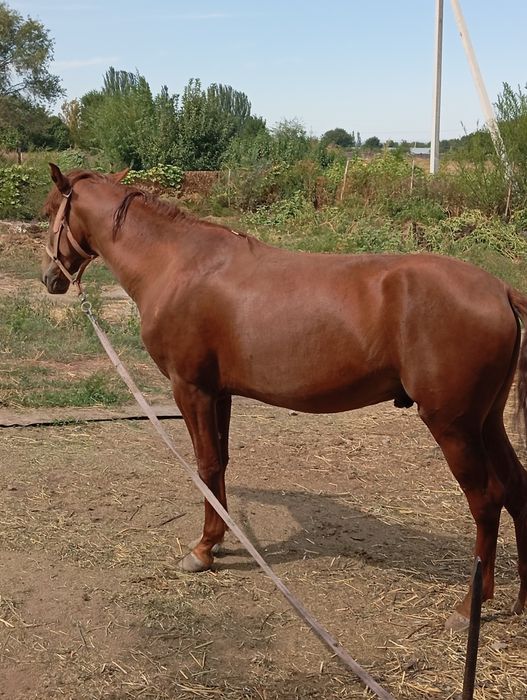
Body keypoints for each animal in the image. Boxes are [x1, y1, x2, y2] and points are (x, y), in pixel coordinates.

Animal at [41, 164, 527, 632]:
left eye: (48, 213)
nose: (49, 278)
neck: (179, 264)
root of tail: (500, 290)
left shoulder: (191, 389)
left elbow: (206, 465)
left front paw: (202, 551)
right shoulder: (220, 393)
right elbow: (220, 464)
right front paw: (218, 541)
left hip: (454, 426)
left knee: (487, 500)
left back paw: (468, 607)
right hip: (486, 421)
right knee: (517, 487)